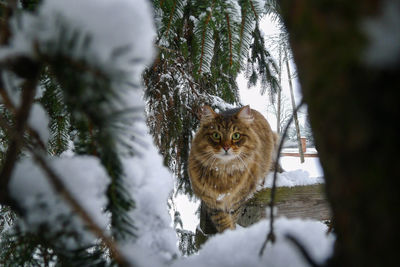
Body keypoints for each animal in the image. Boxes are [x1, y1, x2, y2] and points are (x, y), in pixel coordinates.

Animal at [188, 105, 276, 233]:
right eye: (216, 135)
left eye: (236, 135)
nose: (226, 147)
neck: (223, 170)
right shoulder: (212, 202)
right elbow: (223, 221)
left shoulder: (237, 200)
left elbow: (232, 217)